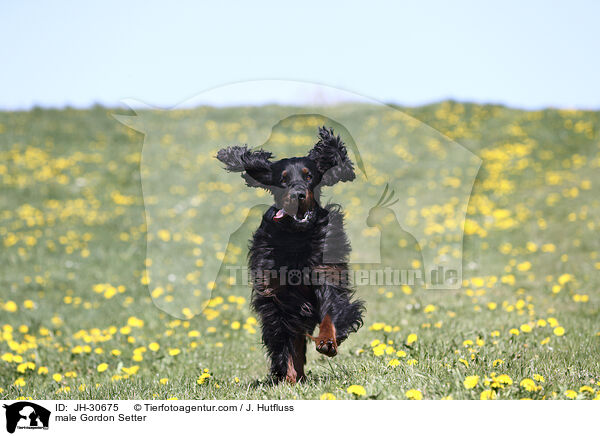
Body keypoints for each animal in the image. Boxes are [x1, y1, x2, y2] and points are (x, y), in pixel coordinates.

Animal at [218, 126, 364, 382]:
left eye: (308, 176)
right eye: (283, 180)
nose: (298, 195)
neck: (298, 237)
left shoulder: (328, 274)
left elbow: (331, 310)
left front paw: (327, 341)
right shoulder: (277, 296)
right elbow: (284, 340)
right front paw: (288, 378)